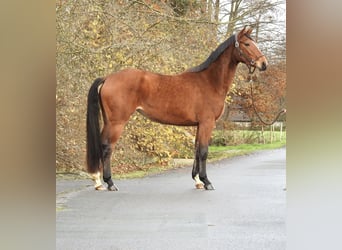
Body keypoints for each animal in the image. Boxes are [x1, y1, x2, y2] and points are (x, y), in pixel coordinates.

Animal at [85, 26, 268, 190]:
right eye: (247, 44)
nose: (264, 64)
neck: (209, 82)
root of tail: (108, 78)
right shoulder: (207, 123)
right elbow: (203, 151)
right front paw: (206, 181)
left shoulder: (199, 125)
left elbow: (196, 149)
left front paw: (197, 180)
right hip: (117, 122)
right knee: (107, 147)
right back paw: (109, 182)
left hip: (109, 121)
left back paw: (98, 181)